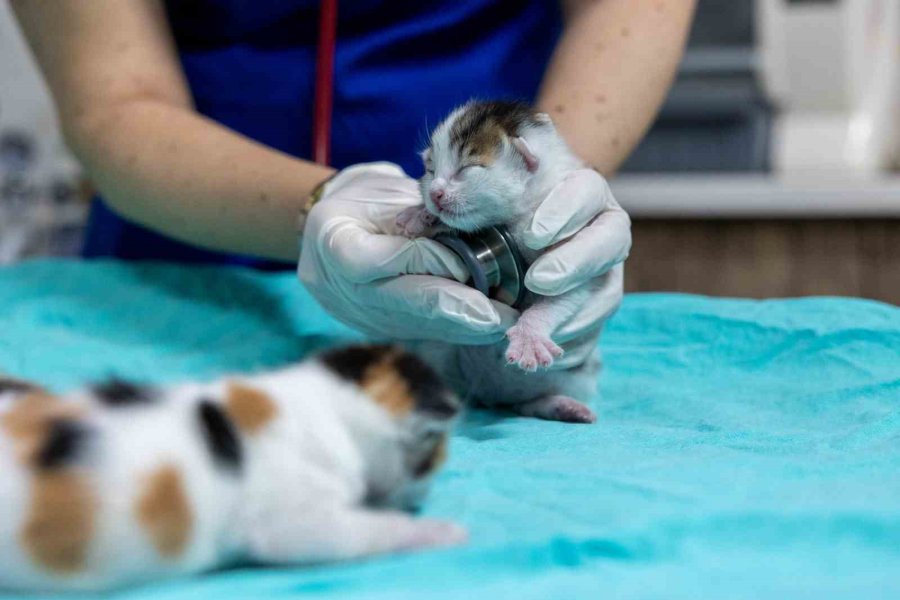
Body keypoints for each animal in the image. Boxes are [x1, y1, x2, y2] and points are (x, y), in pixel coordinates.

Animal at [0, 344, 464, 592]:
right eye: (434, 458)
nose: (423, 497)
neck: (327, 409)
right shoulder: (295, 519)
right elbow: (366, 530)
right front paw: (439, 531)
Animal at [396, 101, 600, 424]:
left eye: (466, 168)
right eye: (430, 169)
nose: (434, 193)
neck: (514, 218)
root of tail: (490, 395)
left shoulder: (567, 257)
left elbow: (562, 296)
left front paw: (529, 335)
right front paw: (418, 213)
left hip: (575, 378)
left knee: (525, 405)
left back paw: (562, 406)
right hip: (438, 351)